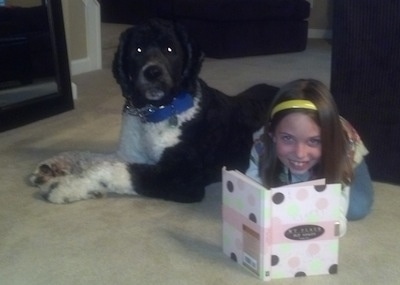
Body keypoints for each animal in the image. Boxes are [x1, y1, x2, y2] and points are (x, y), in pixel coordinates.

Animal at [29, 18, 278, 203]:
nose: (153, 72)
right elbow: (92, 157)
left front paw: (64, 186)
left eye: (170, 49)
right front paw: (55, 166)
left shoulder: (183, 178)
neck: (154, 114)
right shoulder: (129, 154)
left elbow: (113, 169)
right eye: (137, 50)